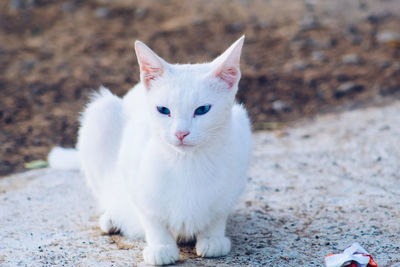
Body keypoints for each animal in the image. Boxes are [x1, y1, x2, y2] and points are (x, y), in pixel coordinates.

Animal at [49, 35, 250, 266]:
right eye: (163, 110)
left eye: (202, 110)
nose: (181, 133)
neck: (187, 162)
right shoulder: (133, 171)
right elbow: (151, 216)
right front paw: (161, 246)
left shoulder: (239, 147)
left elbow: (218, 212)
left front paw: (212, 237)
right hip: (100, 111)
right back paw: (112, 217)